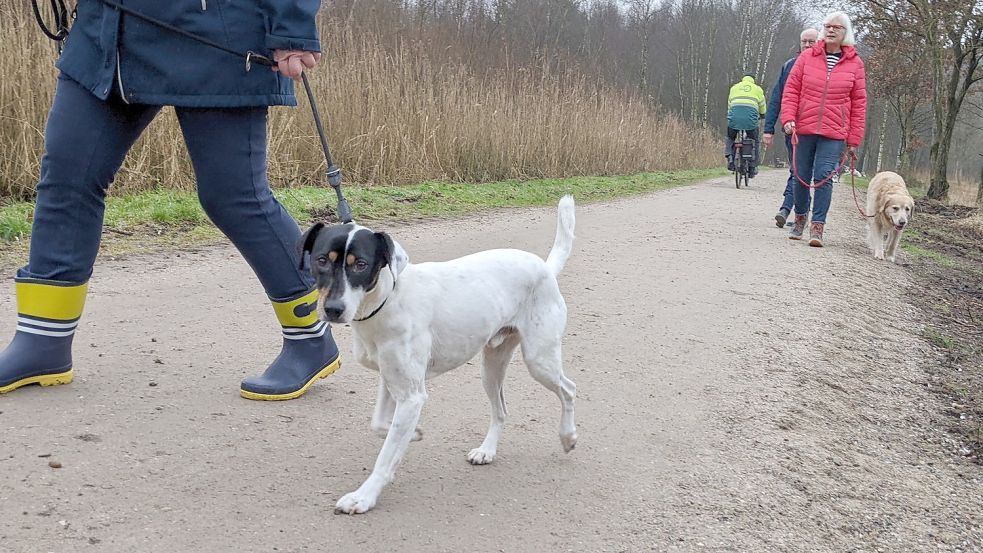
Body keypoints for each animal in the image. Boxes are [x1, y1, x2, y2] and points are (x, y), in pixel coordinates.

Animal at [298, 197, 576, 512]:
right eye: (321, 260)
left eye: (361, 264)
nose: (333, 309)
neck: (386, 300)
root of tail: (544, 267)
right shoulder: (392, 381)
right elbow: (380, 424)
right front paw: (412, 435)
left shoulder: (411, 395)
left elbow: (385, 453)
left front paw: (364, 495)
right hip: (491, 368)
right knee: (501, 410)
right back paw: (487, 450)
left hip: (539, 361)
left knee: (568, 390)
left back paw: (568, 437)